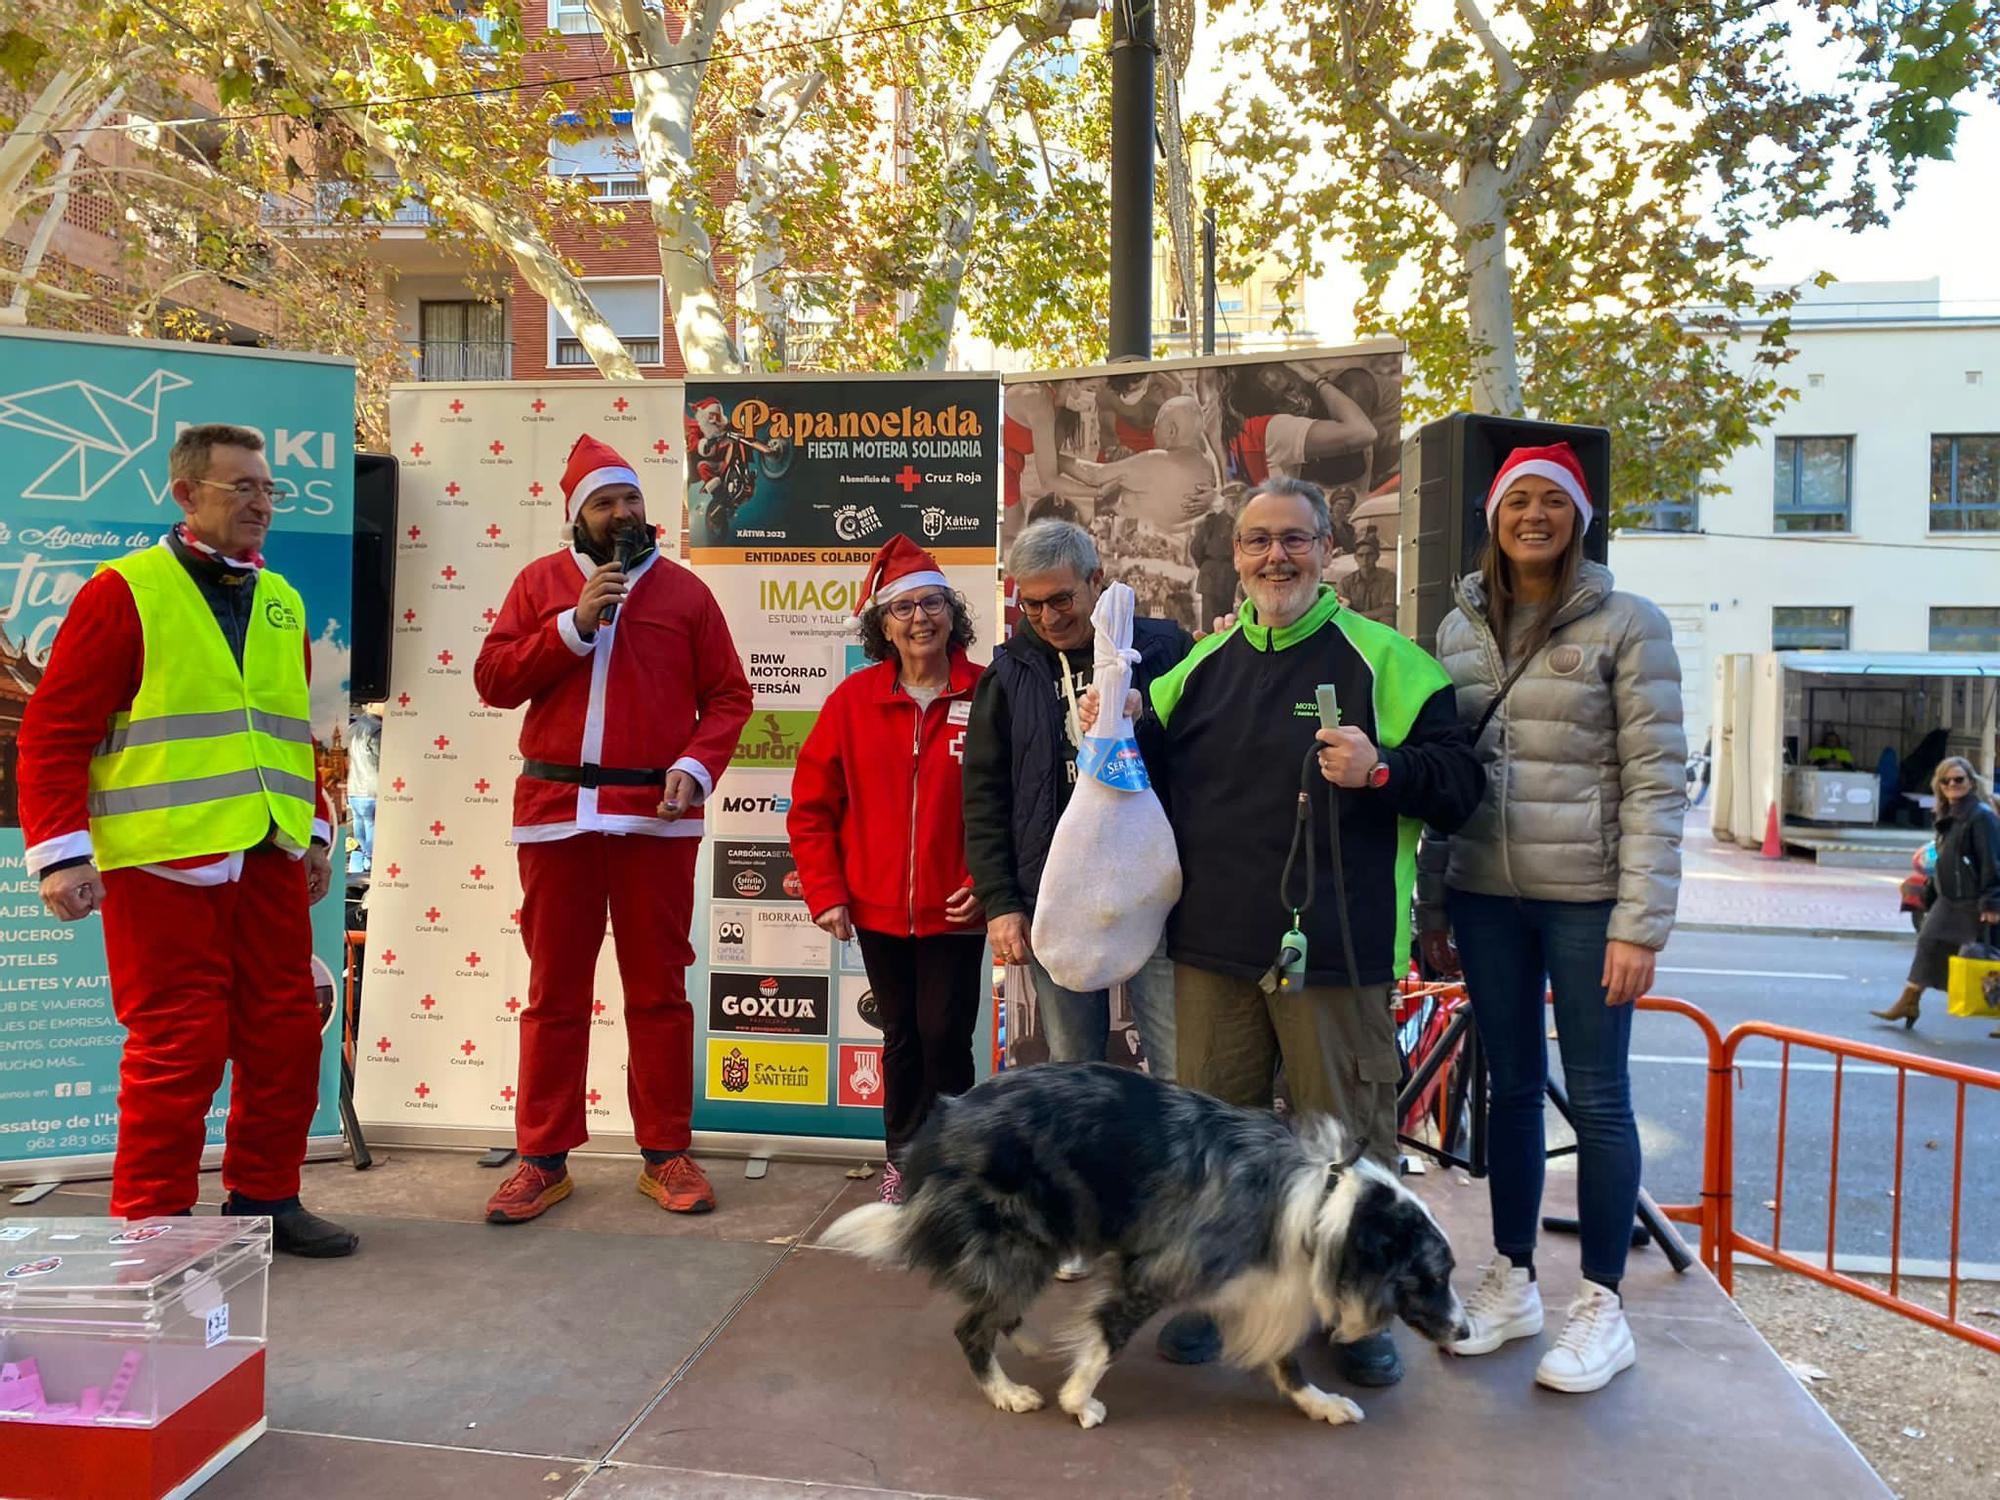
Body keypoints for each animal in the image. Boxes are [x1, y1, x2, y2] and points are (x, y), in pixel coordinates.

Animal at [820, 1064, 1464, 1424]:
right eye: (1431, 1277)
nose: (1464, 1331)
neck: (1325, 1204)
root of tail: (946, 1115)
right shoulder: (1154, 1270)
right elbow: (1109, 1338)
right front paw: (1079, 1402)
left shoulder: (1268, 1287)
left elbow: (1287, 1362)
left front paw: (1319, 1403)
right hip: (1025, 1240)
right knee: (970, 1327)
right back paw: (1007, 1392)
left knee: (995, 1309)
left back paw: (1024, 1340)